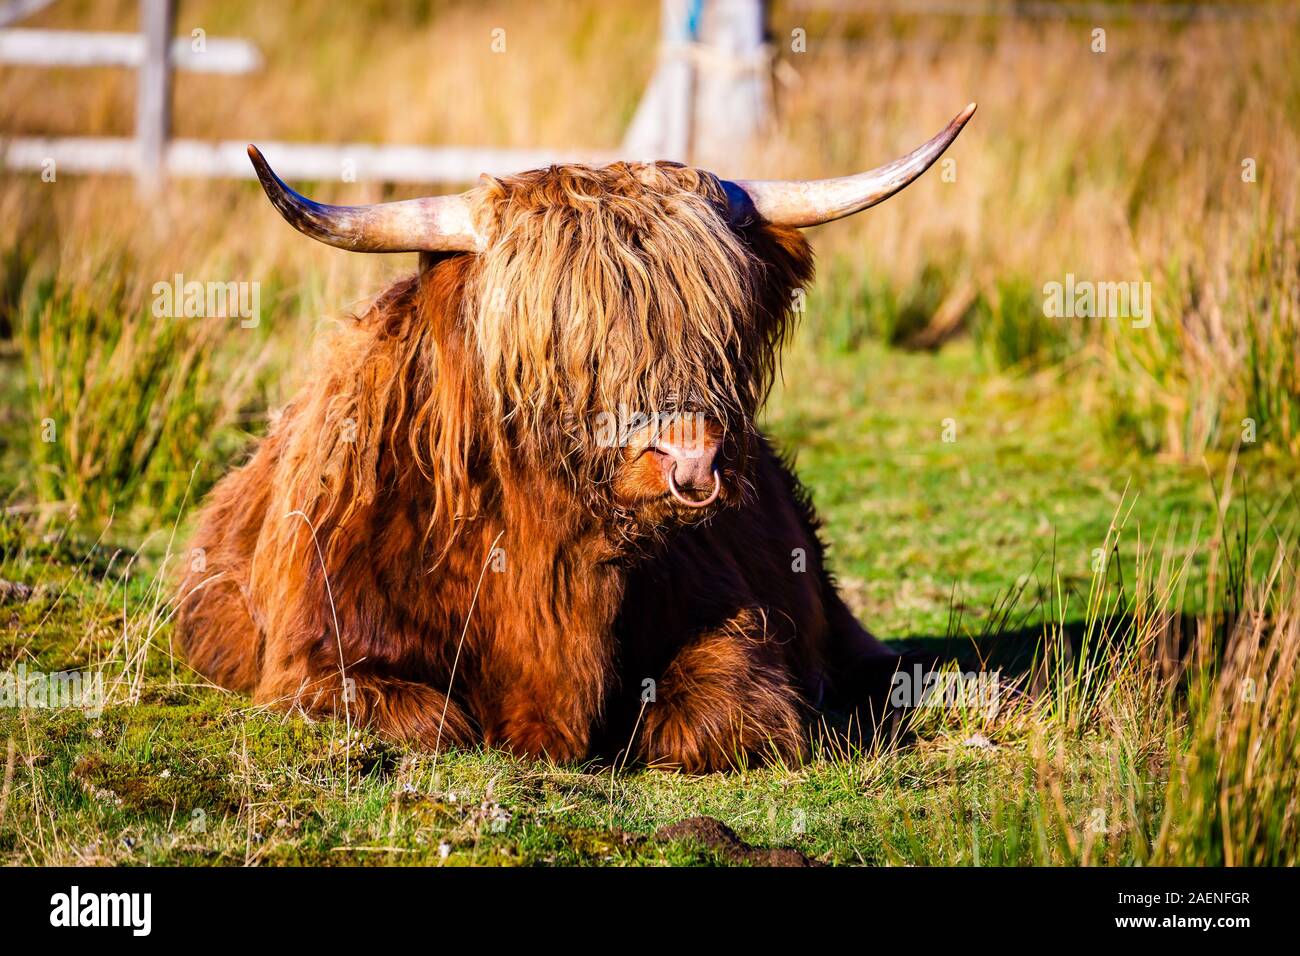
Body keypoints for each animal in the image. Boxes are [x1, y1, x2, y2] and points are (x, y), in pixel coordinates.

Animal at [176, 104, 976, 771]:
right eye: (571, 346)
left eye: (719, 329)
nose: (692, 461)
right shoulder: (318, 657)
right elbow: (433, 724)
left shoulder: (738, 624)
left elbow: (718, 717)